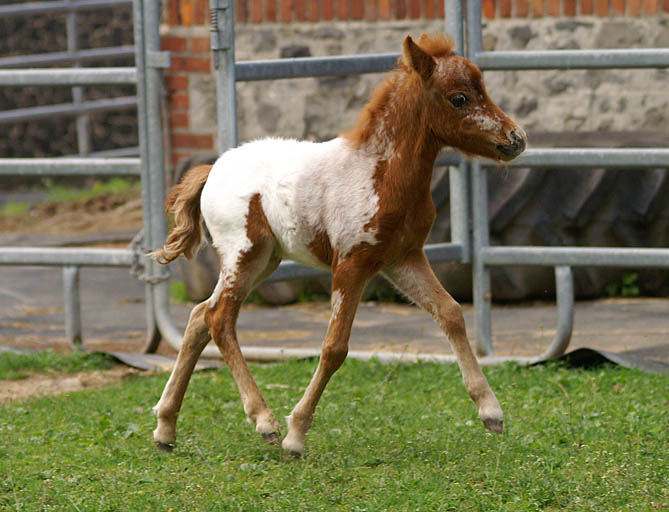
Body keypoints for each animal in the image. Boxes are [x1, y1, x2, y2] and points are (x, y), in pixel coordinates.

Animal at [151, 34, 528, 458]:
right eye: (459, 98)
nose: (516, 139)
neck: (381, 172)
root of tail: (212, 169)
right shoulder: (351, 264)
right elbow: (334, 347)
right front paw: (296, 435)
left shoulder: (403, 259)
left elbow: (450, 313)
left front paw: (491, 411)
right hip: (243, 255)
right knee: (219, 319)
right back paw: (264, 421)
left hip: (263, 262)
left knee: (200, 315)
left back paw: (166, 427)